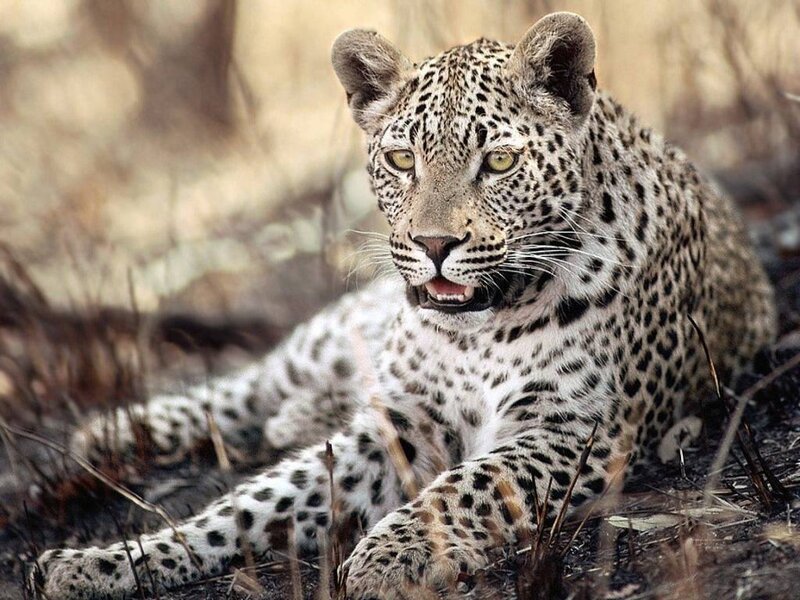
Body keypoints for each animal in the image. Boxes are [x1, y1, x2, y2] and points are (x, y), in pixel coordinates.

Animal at [31, 12, 776, 600]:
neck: (482, 327)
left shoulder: (576, 430)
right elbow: (250, 505)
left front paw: (389, 555)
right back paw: (110, 431)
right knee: (250, 386)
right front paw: (104, 563)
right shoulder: (402, 421)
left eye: (498, 163)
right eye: (400, 160)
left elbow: (466, 484)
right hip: (326, 339)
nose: (434, 244)